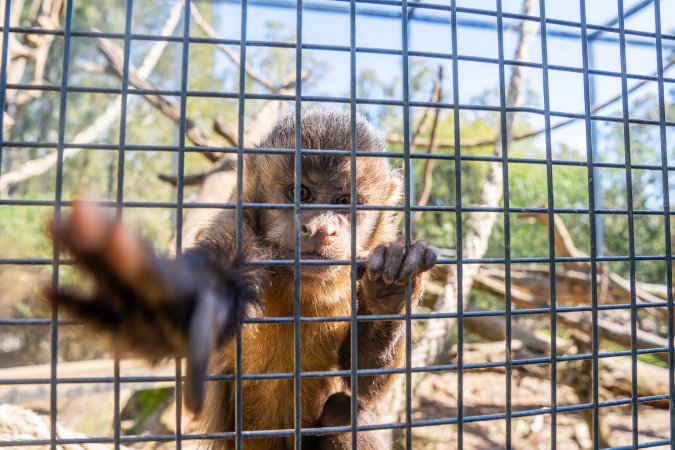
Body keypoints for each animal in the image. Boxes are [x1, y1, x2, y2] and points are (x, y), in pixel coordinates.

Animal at [47, 106, 437, 450]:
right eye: (301, 193)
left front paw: (390, 291)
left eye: (344, 201)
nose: (321, 229)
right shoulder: (239, 228)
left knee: (343, 411)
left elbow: (363, 385)